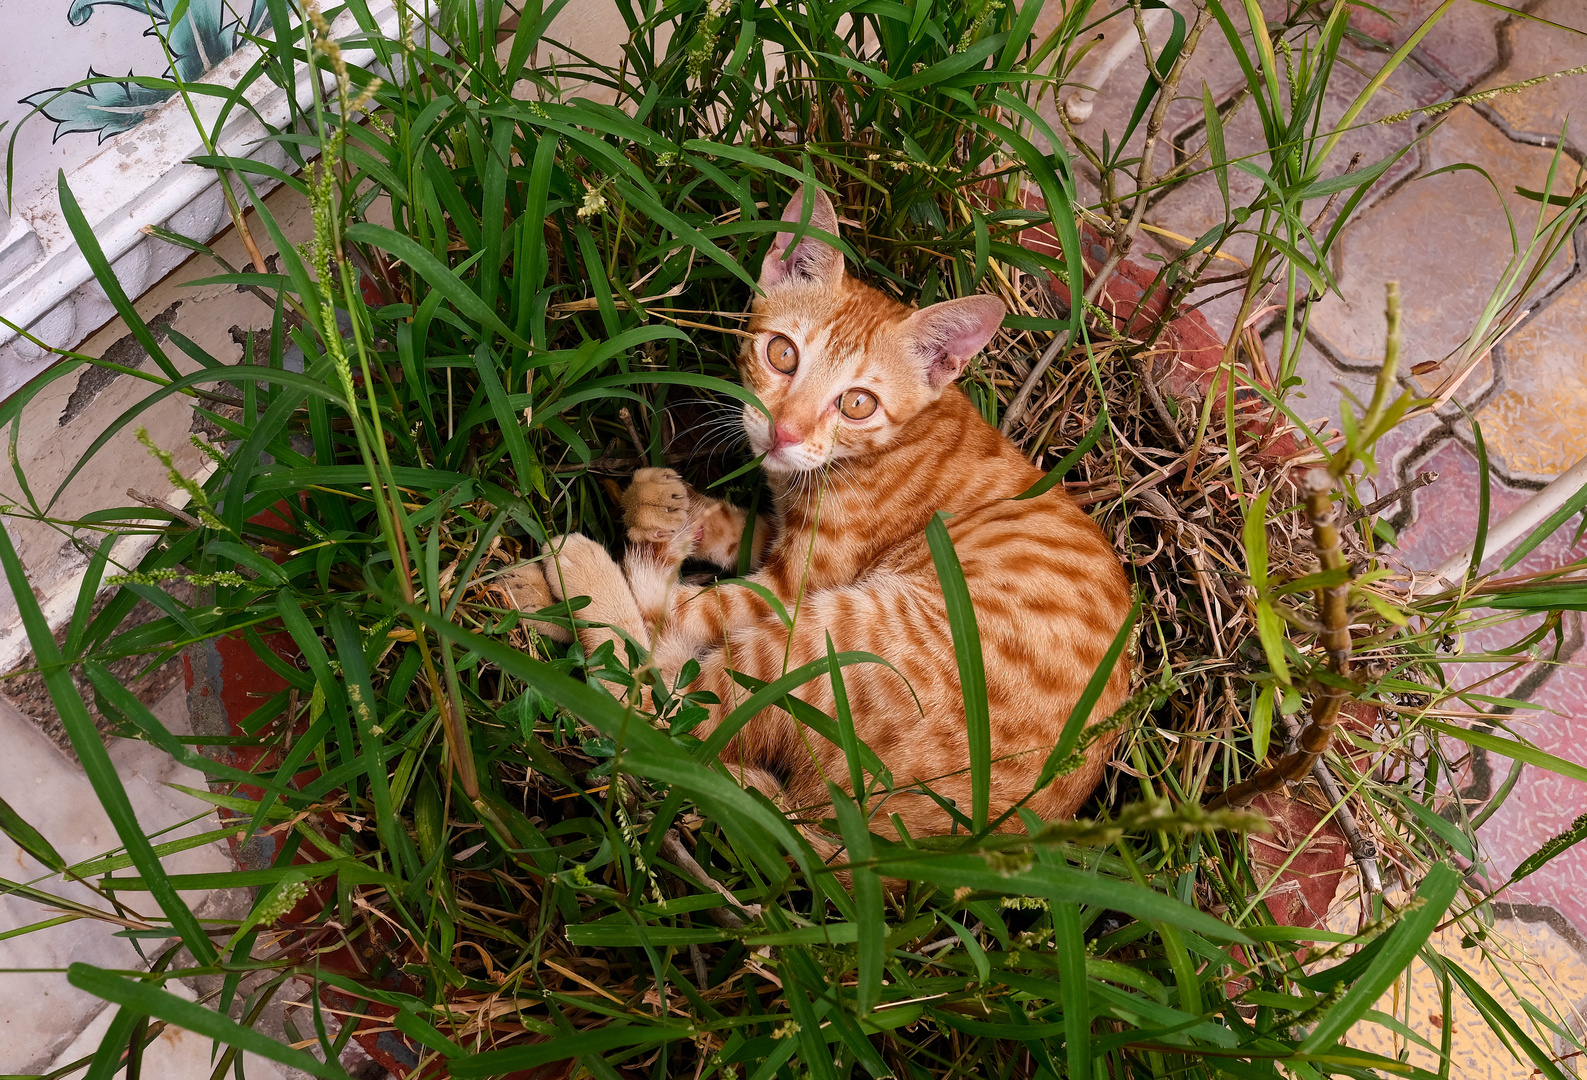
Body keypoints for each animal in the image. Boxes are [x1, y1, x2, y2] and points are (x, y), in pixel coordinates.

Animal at [514, 185, 1136, 843]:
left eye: (857, 403)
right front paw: (666, 505)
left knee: (660, 709)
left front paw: (635, 537)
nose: (784, 431)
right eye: (782, 354)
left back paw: (572, 573)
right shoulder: (782, 526)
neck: (881, 448)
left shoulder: (796, 583)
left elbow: (697, 609)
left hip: (834, 642)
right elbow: (737, 528)